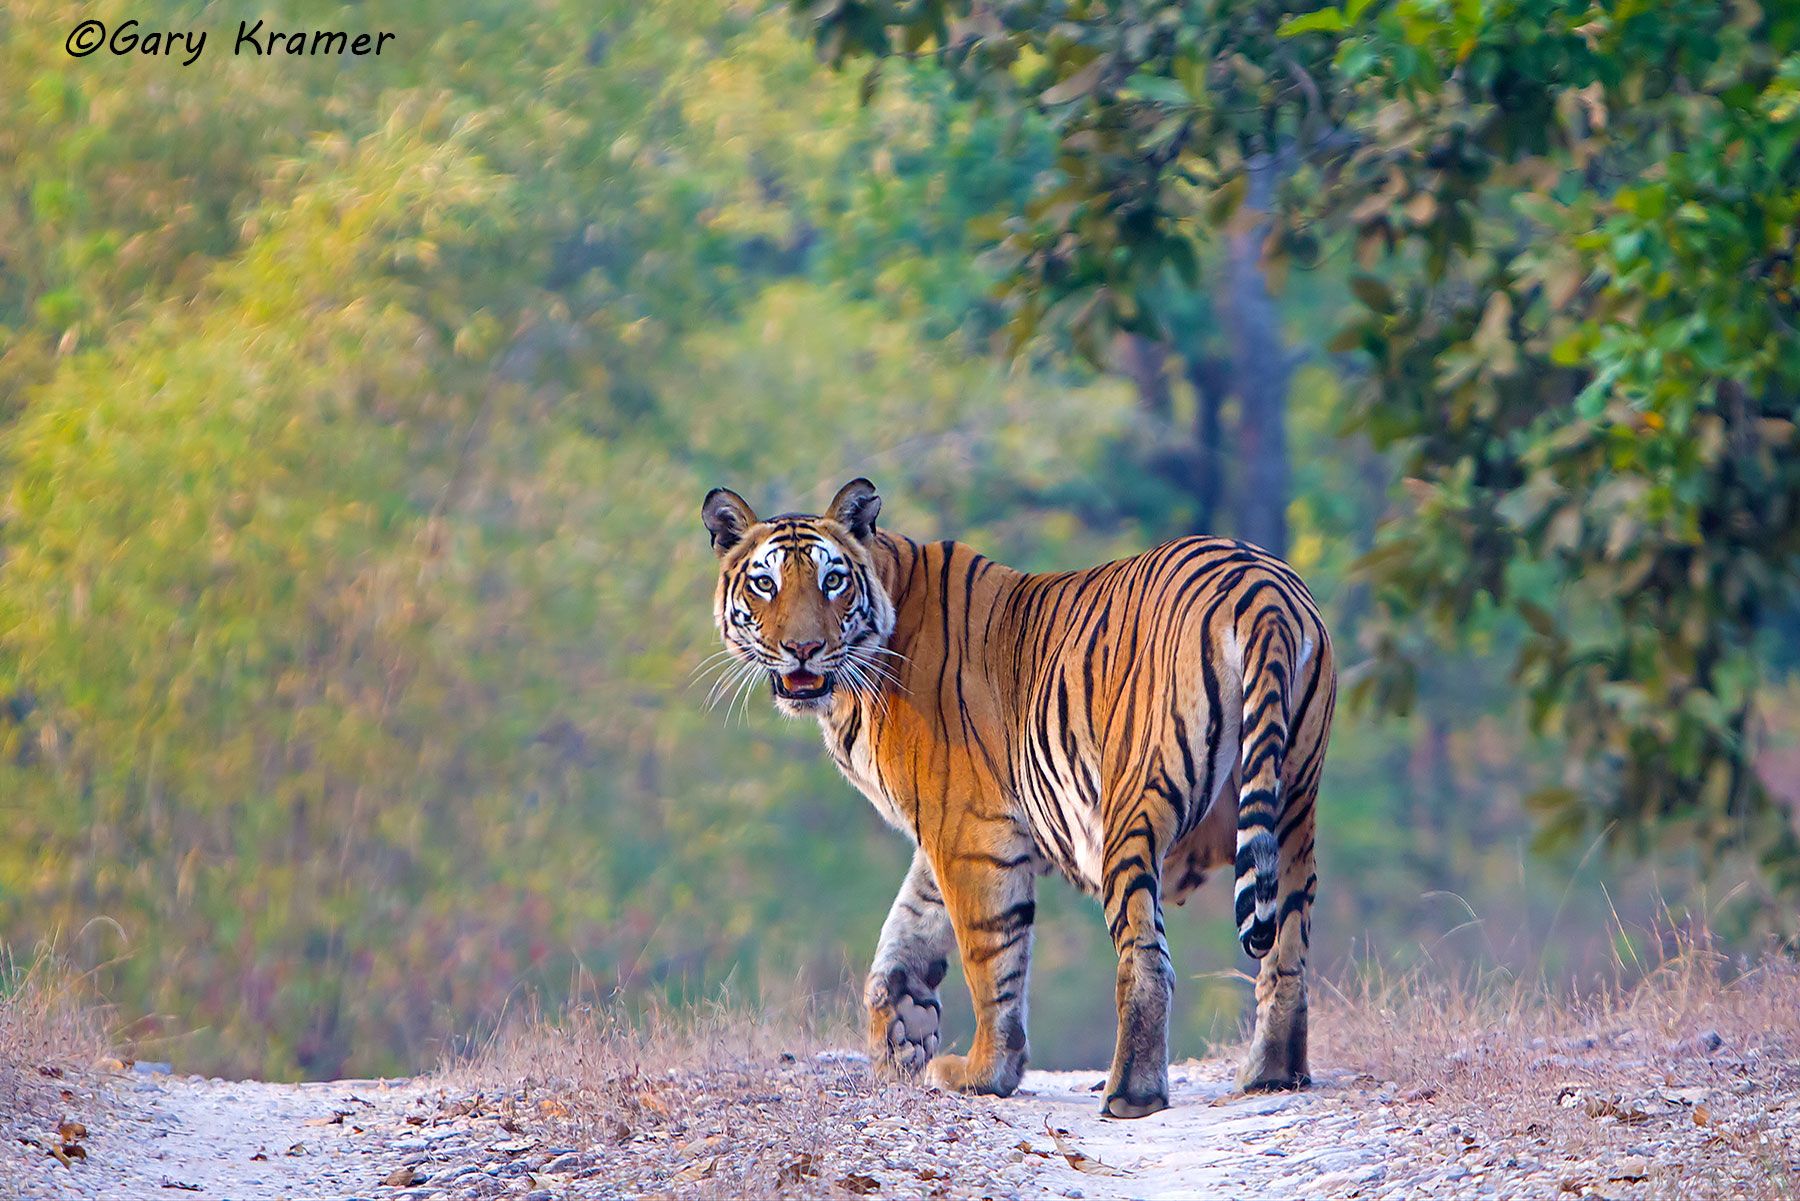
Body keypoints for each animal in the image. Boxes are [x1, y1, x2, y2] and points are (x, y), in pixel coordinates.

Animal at [702, 478, 1335, 1117]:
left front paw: (983, 1073)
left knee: (1146, 954)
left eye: (832, 580)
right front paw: (902, 1034)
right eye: (765, 583)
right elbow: (905, 933)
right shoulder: (944, 831)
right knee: (1286, 948)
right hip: (1293, 805)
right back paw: (1271, 1075)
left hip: (1133, 805)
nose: (803, 648)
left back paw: (1130, 1092)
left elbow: (988, 957)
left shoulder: (970, 830)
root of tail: (1261, 590)